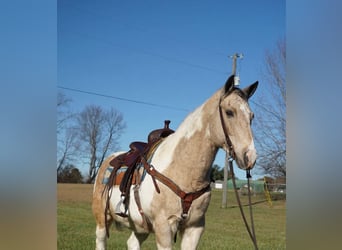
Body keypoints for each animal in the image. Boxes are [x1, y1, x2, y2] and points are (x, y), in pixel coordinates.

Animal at [92, 75, 258, 249]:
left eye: (251, 116)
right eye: (229, 112)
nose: (249, 157)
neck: (182, 170)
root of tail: (109, 160)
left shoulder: (194, 227)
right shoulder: (164, 227)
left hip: (140, 226)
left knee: (132, 243)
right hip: (102, 218)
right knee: (101, 240)